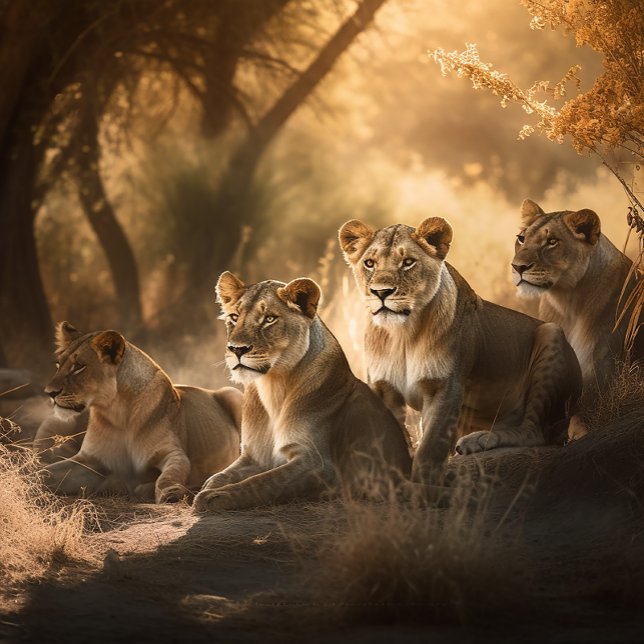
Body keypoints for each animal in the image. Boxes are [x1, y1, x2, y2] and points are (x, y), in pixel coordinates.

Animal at [38, 322, 242, 503]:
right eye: (58, 365)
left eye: (79, 366)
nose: (49, 393)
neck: (118, 413)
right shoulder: (89, 460)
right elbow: (44, 473)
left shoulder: (173, 453)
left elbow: (168, 476)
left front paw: (170, 492)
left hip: (232, 394)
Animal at [192, 274, 411, 512]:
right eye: (234, 316)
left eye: (269, 319)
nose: (236, 349)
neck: (273, 386)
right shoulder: (254, 457)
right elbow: (219, 476)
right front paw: (208, 488)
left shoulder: (318, 464)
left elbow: (262, 482)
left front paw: (214, 497)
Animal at [339, 217, 583, 482]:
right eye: (369, 263)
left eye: (408, 262)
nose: (381, 292)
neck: (402, 335)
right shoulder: (384, 390)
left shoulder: (445, 387)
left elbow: (430, 448)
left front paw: (421, 485)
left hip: (552, 333)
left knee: (534, 432)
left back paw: (479, 439)